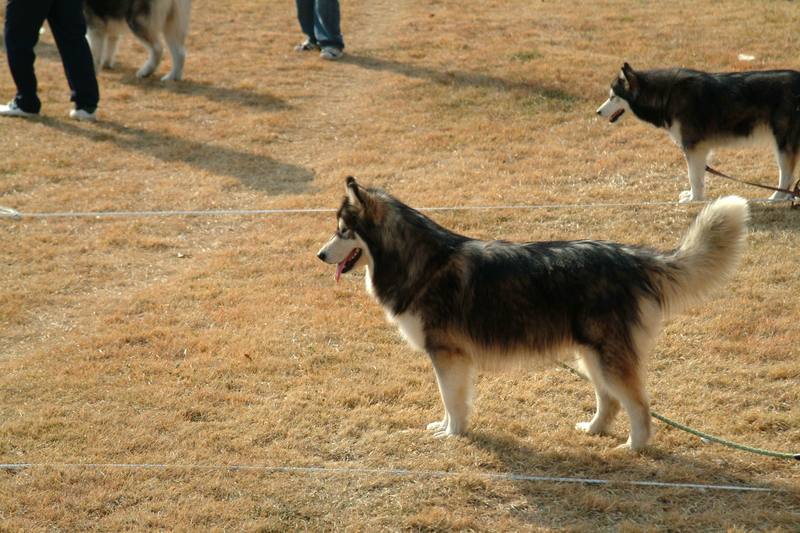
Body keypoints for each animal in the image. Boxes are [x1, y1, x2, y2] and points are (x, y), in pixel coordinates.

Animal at [316, 179, 748, 448]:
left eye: (343, 231)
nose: (319, 255)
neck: (419, 261)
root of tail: (631, 256)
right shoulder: (454, 358)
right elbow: (454, 402)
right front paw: (449, 428)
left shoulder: (447, 355)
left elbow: (451, 400)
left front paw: (451, 434)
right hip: (589, 354)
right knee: (609, 401)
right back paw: (593, 430)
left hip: (606, 356)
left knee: (639, 405)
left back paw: (633, 447)